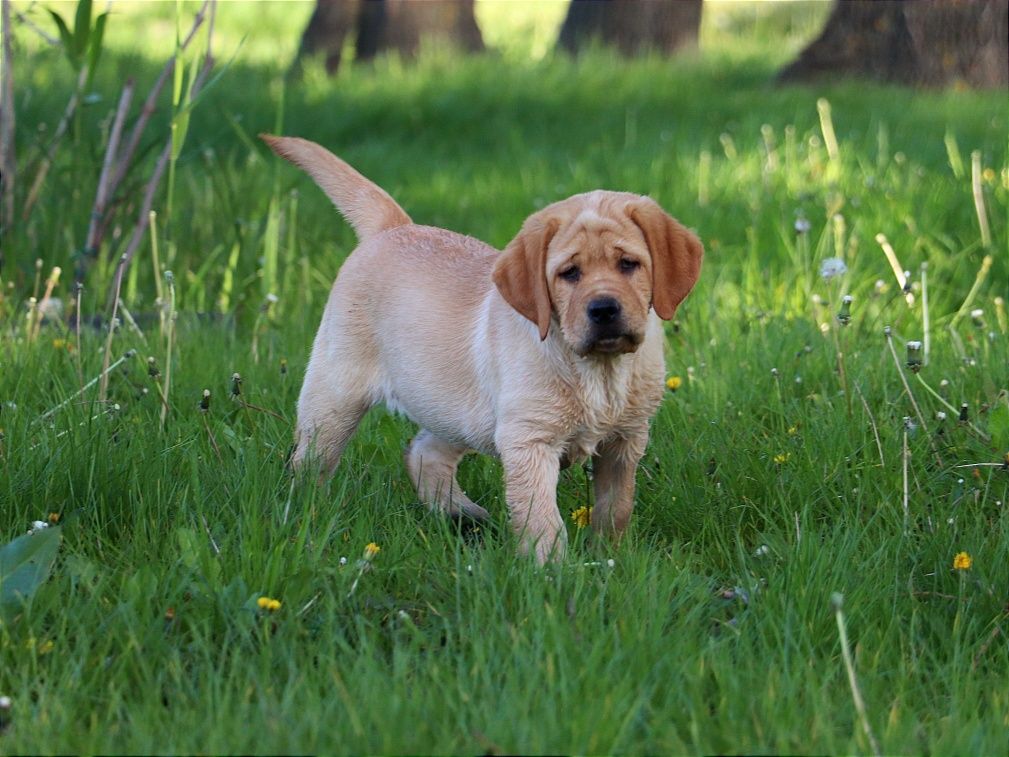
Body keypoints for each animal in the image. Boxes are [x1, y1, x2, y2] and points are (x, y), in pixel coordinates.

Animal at [262, 135, 702, 565]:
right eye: (569, 273)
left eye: (628, 264)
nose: (604, 309)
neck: (599, 371)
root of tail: (394, 228)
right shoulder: (528, 441)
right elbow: (543, 519)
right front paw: (553, 574)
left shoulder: (625, 440)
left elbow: (616, 507)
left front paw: (610, 559)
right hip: (335, 397)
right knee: (308, 464)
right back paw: (305, 517)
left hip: (457, 409)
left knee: (422, 452)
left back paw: (464, 514)